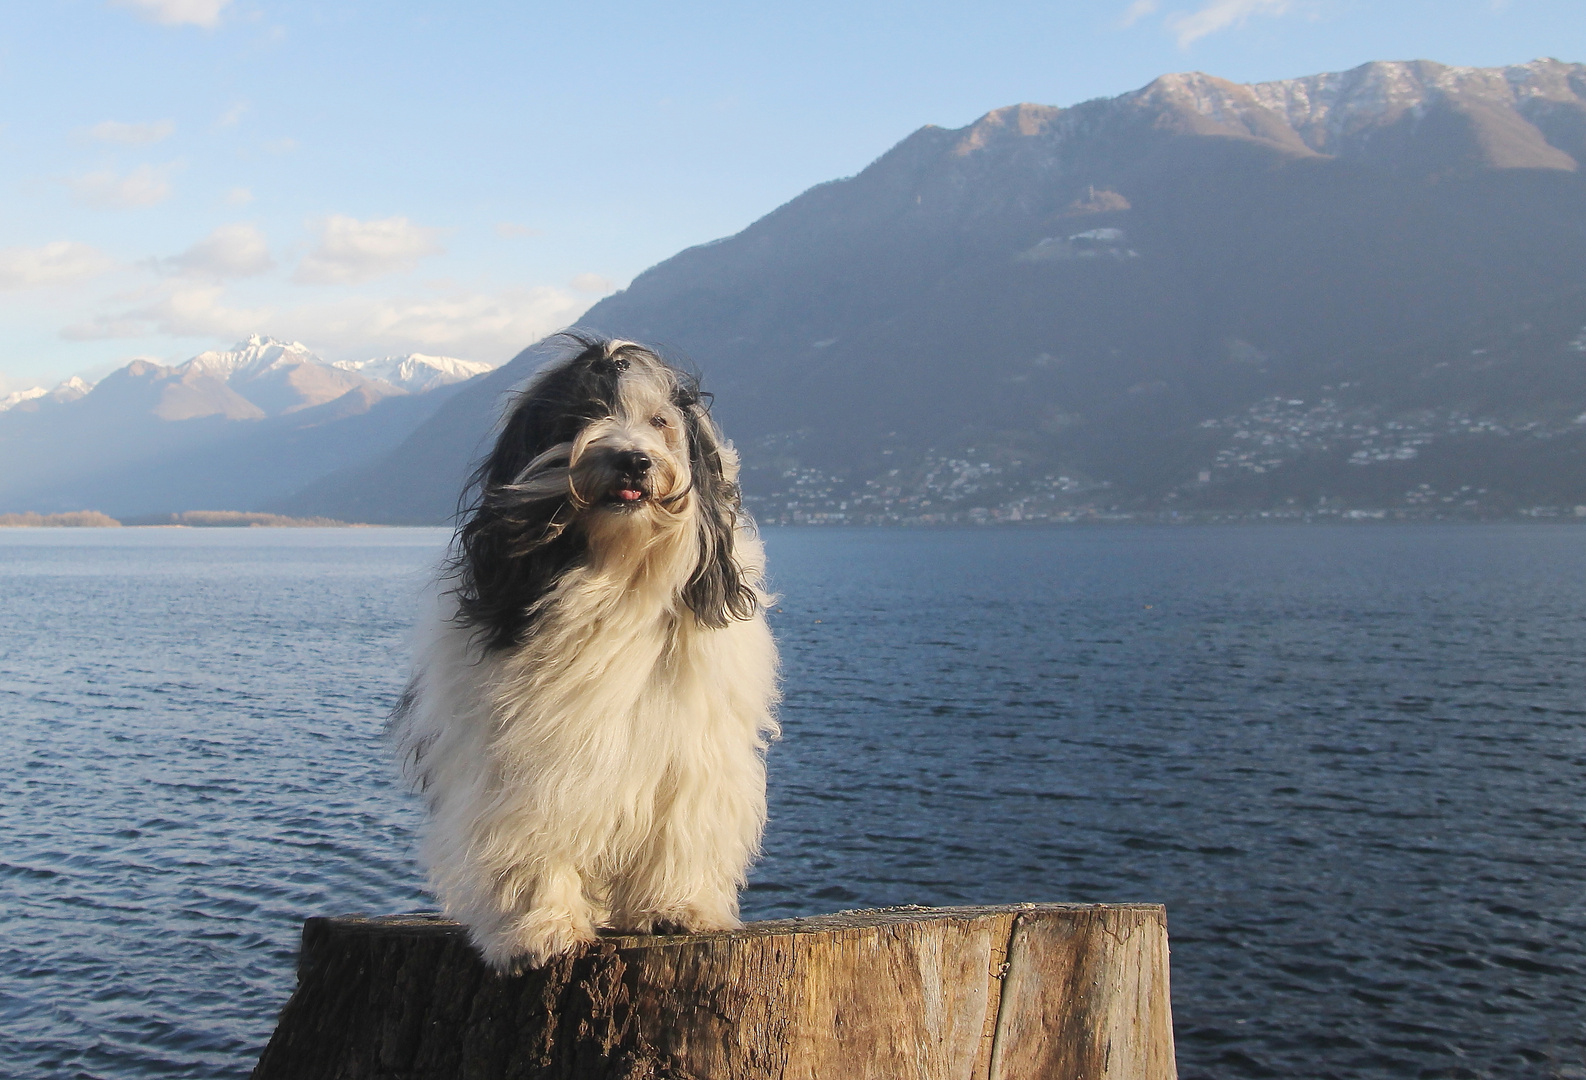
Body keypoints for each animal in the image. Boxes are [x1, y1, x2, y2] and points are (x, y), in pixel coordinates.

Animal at [390, 331, 773, 970]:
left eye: (660, 422)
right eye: (582, 416)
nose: (633, 459)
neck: (614, 576)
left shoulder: (689, 750)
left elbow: (681, 825)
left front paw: (677, 908)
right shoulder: (521, 757)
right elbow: (530, 837)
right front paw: (540, 928)